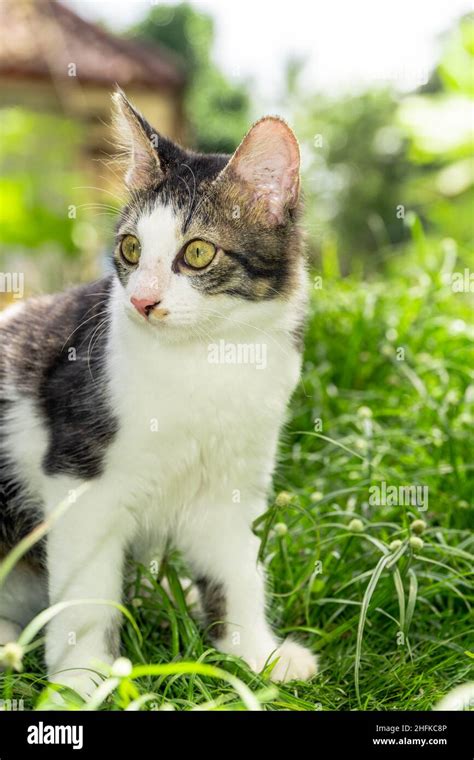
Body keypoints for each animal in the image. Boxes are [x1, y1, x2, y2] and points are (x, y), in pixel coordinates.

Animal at [0, 90, 318, 700]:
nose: (142, 301)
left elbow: (237, 569)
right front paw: (80, 680)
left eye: (197, 254)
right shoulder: (79, 478)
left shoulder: (233, 483)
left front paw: (254, 653)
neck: (207, 360)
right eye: (129, 249)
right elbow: (85, 598)